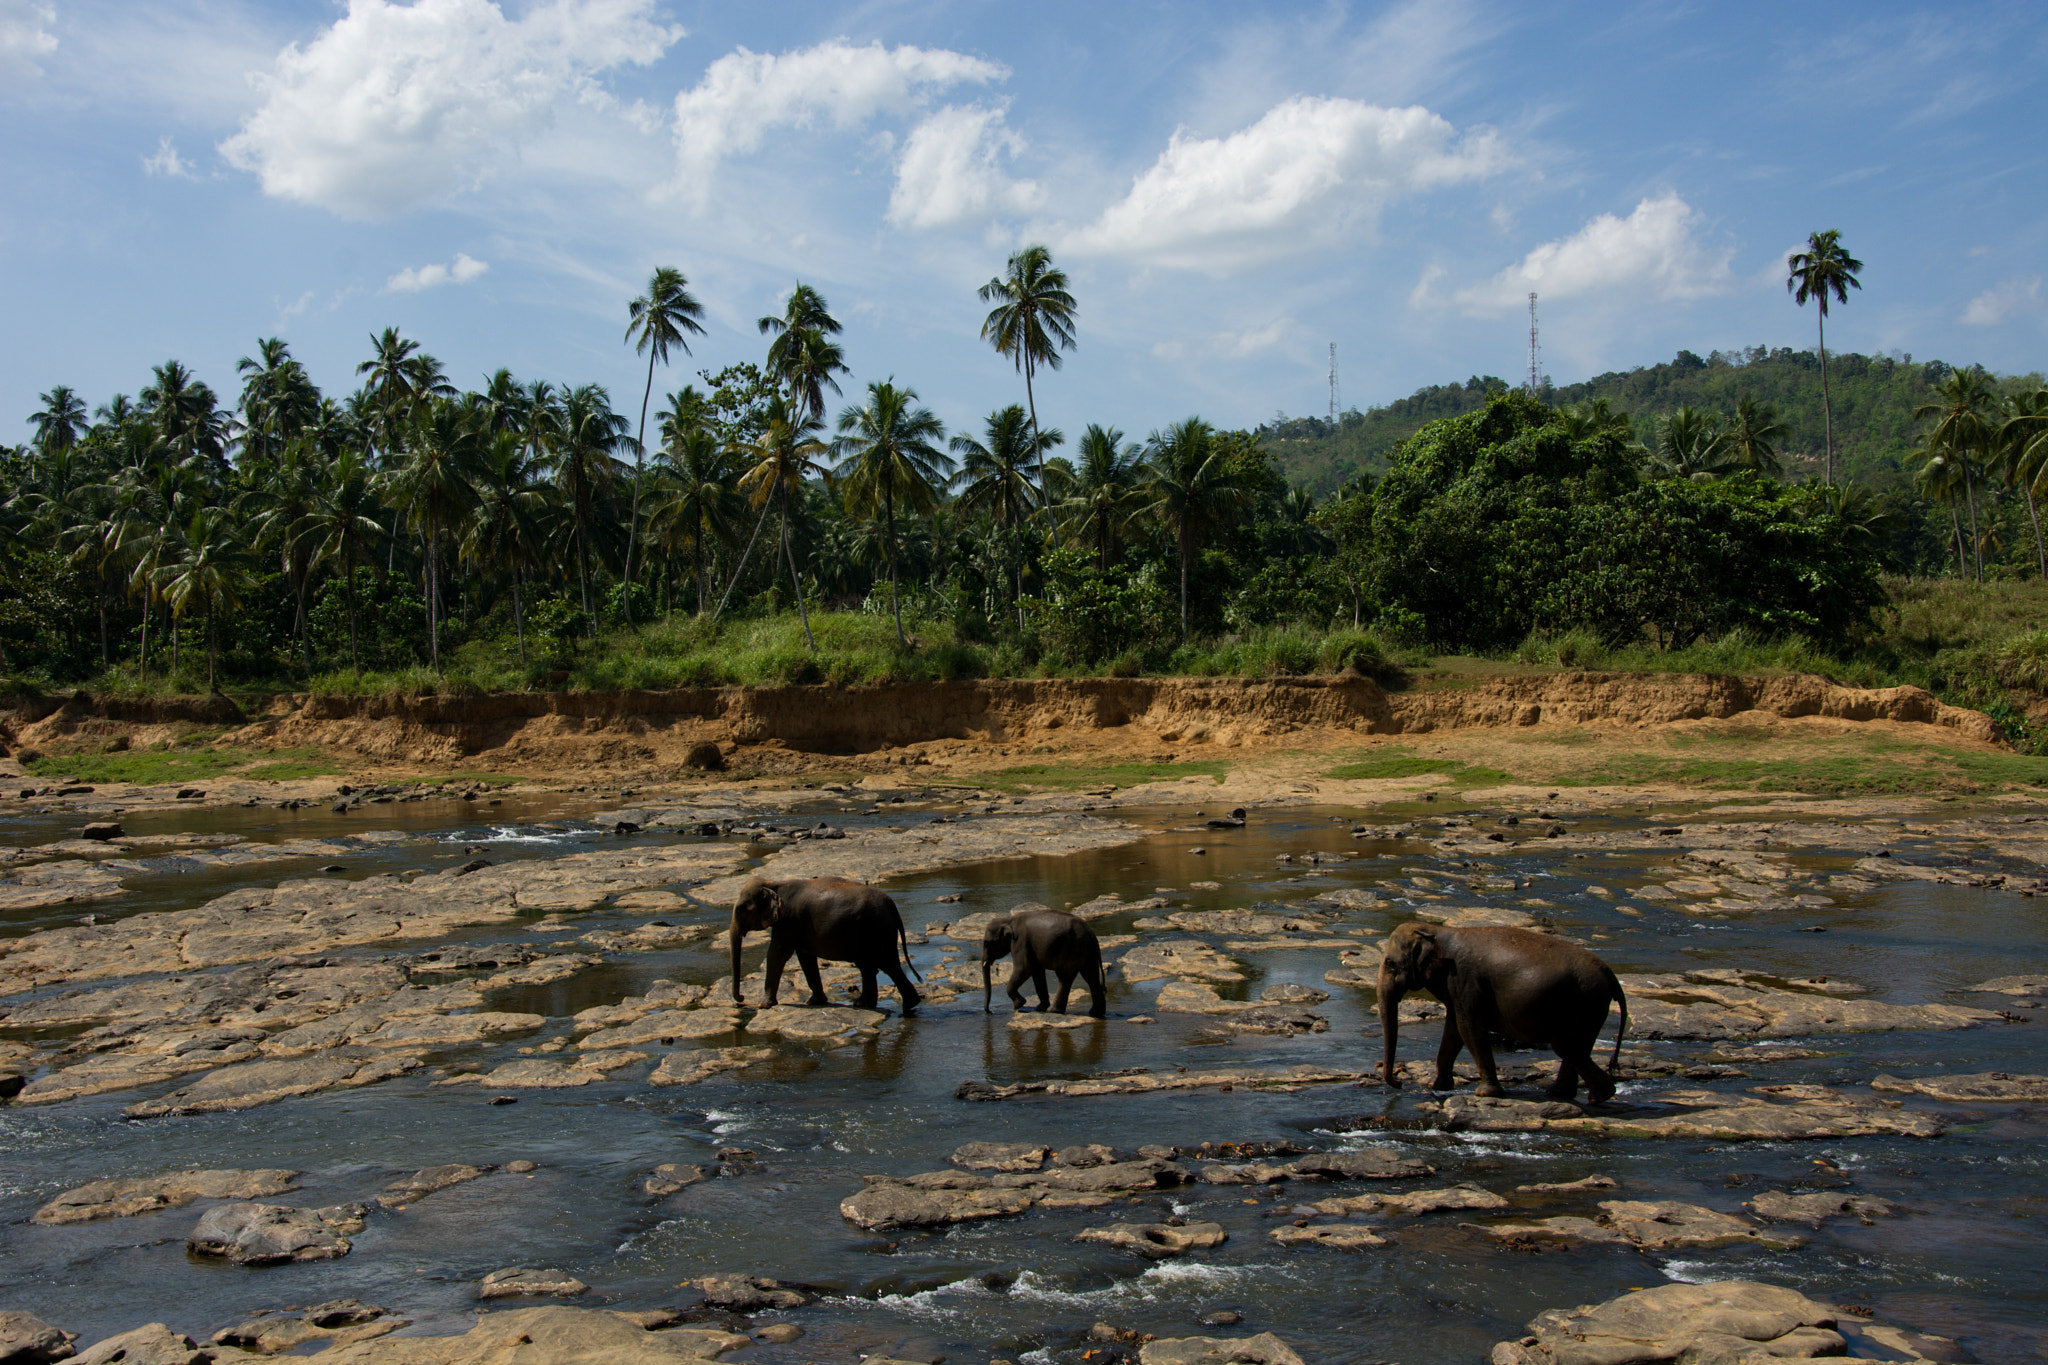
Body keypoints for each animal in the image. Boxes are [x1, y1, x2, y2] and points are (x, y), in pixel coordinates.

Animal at [729, 875, 921, 1015]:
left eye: (741, 909)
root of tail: (892, 905)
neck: (773, 883)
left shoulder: (788, 921)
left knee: (885, 965)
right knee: (872, 966)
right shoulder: (795, 925)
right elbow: (805, 957)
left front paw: (763, 1005)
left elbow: (777, 954)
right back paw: (869, 1005)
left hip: (876, 929)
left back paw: (904, 1005)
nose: (742, 998)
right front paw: (814, 1002)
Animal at [1376, 925, 1630, 1105]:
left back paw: (1599, 1096)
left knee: (1567, 1047)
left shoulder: (1466, 982)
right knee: (1576, 1049)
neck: (1436, 930)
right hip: (1591, 1005)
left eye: (1390, 962)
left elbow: (1468, 1029)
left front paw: (1484, 1094)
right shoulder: (1457, 990)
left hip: (1585, 1003)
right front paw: (1437, 1087)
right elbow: (1454, 1031)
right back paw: (1563, 1094)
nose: (1399, 1083)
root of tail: (1610, 974)